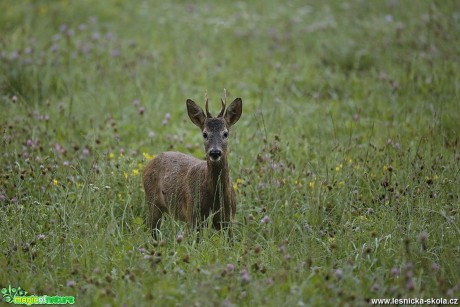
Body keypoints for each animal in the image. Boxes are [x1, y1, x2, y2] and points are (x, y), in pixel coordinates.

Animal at [143, 91, 244, 241]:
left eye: (225, 133)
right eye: (205, 134)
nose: (215, 152)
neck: (215, 197)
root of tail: (150, 162)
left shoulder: (228, 218)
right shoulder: (193, 215)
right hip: (153, 203)